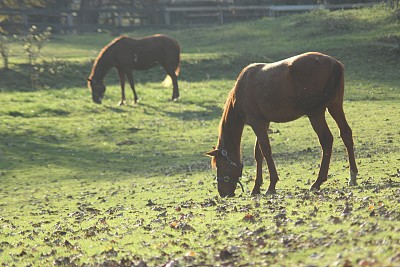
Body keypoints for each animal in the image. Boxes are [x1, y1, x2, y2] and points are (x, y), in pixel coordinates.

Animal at [206, 52, 360, 199]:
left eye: (219, 165)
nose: (223, 193)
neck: (243, 88)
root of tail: (333, 63)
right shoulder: (264, 123)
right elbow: (258, 154)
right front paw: (256, 187)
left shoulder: (257, 124)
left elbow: (266, 151)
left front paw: (271, 185)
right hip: (335, 106)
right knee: (346, 133)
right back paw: (352, 176)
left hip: (316, 113)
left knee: (326, 140)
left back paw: (318, 182)